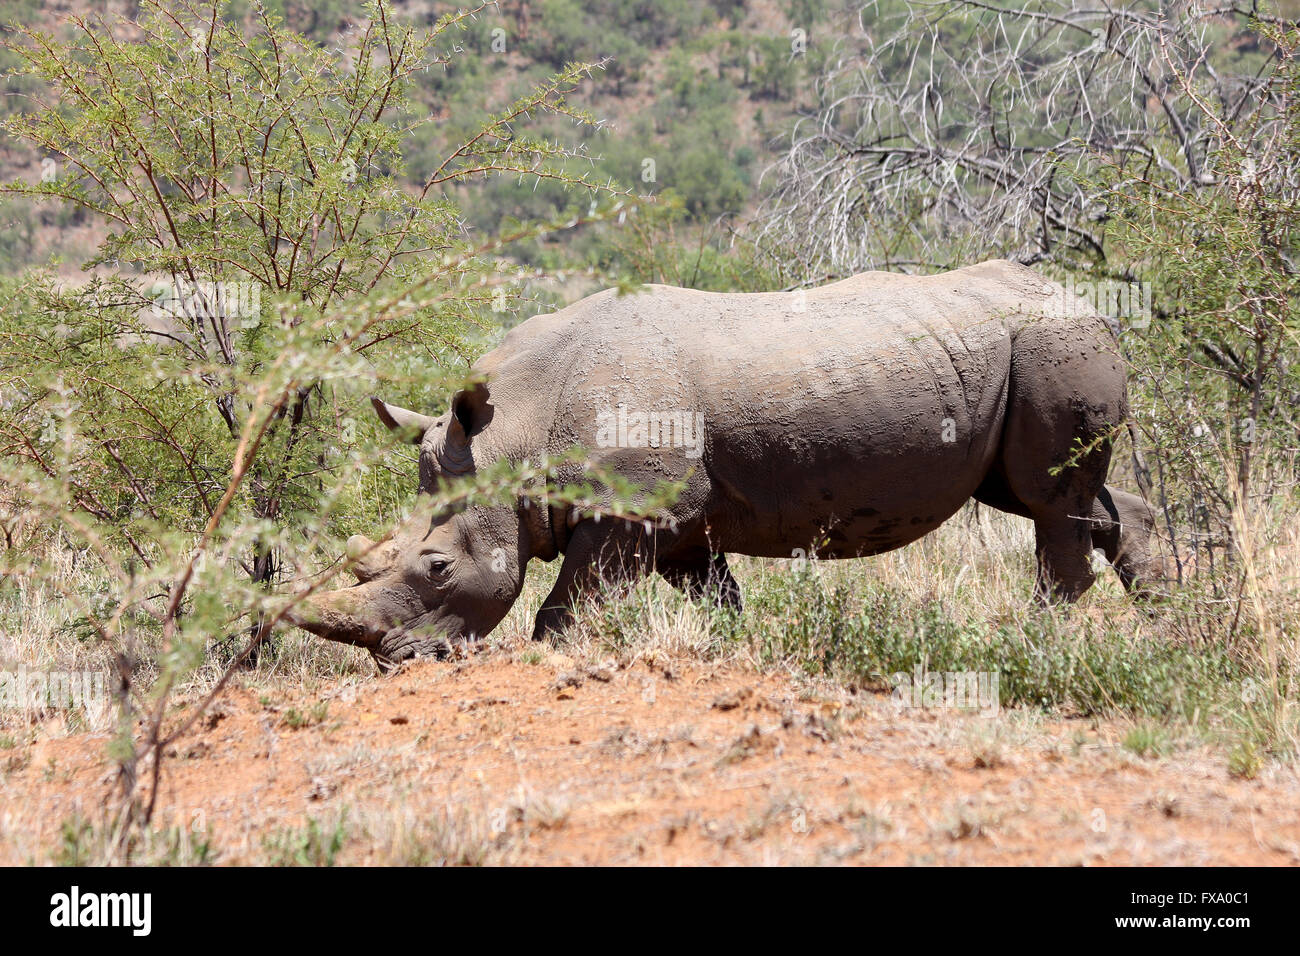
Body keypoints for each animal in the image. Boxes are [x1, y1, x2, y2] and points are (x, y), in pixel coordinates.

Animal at [292, 257, 1159, 671]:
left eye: (436, 567)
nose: (395, 664)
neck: (518, 432)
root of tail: (1093, 303)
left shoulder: (630, 509)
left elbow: (569, 608)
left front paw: (554, 658)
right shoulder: (680, 520)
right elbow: (719, 601)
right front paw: (735, 652)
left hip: (1052, 343)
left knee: (1049, 505)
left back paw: (1033, 641)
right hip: (1030, 351)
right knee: (1058, 499)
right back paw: (1170, 626)